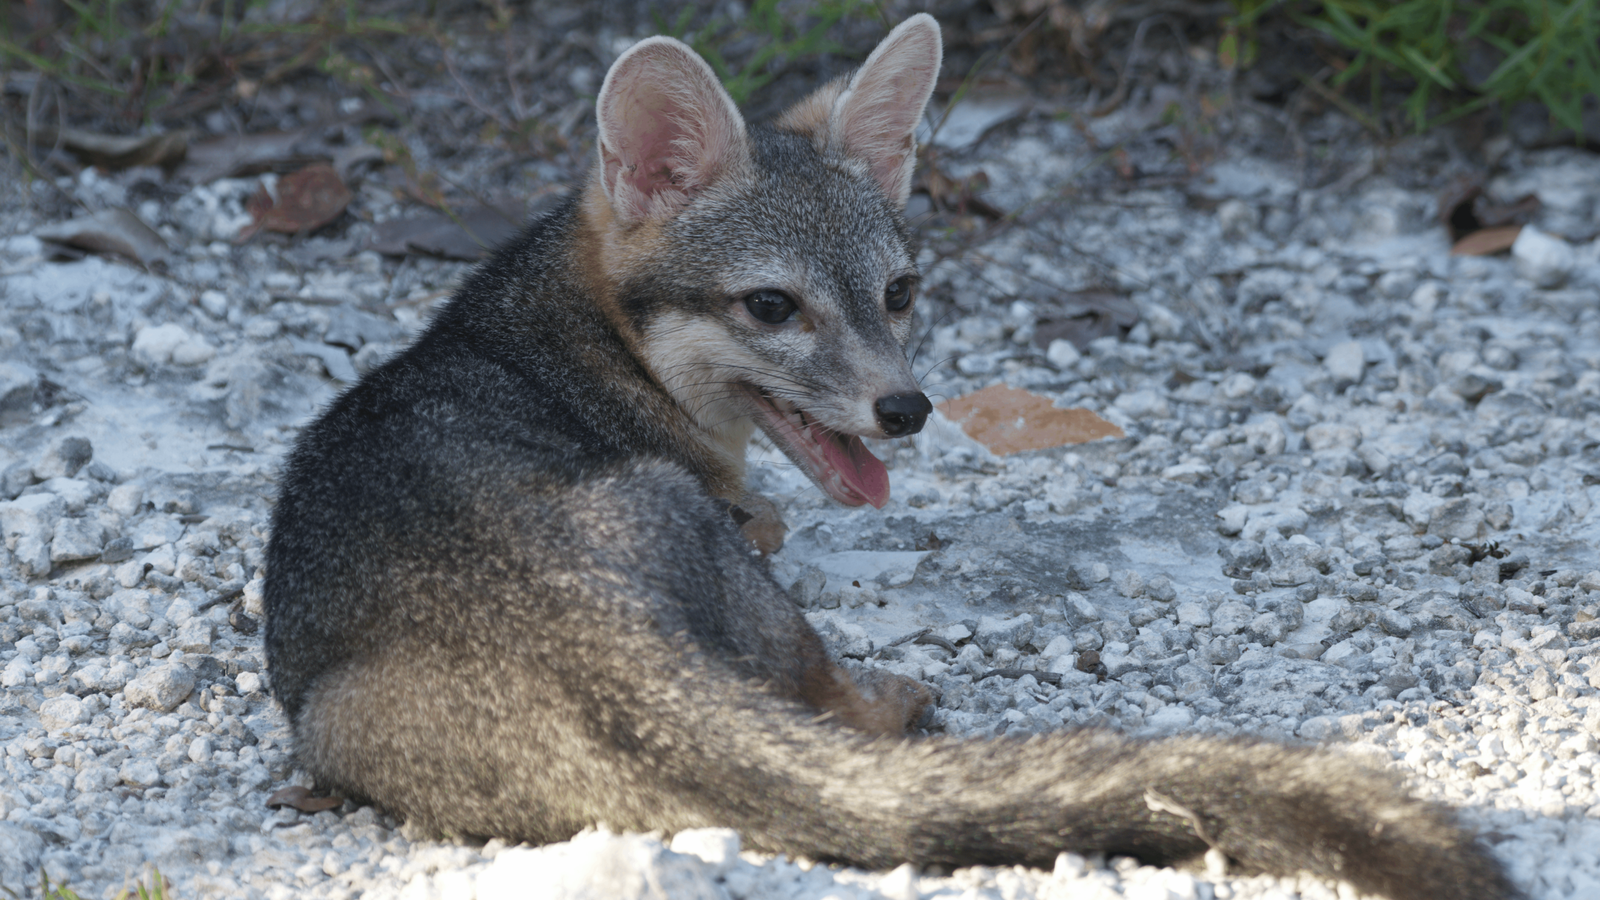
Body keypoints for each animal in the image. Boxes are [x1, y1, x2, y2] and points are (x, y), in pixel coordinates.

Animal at [263, 15, 1517, 900]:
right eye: (772, 306)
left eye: (900, 292)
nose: (907, 409)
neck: (565, 336)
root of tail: (585, 640)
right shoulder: (745, 519)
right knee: (827, 696)